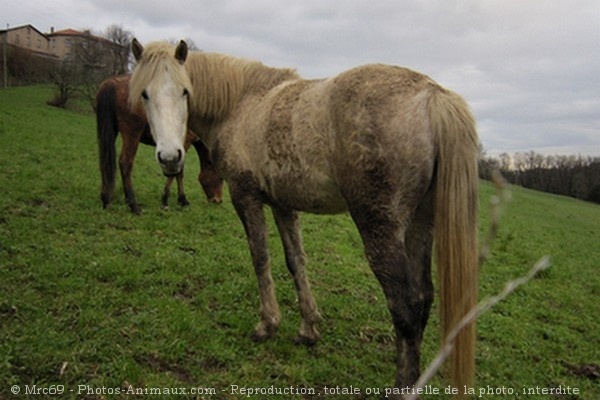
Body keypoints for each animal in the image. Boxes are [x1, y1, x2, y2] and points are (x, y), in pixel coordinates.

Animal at [96, 74, 223, 214]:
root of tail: (113, 83)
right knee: (125, 163)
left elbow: (179, 173)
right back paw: (134, 206)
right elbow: (177, 173)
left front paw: (182, 200)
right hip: (132, 133)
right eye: (221, 178)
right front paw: (166, 201)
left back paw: (108, 200)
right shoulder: (181, 146)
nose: (218, 200)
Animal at [130, 41, 478, 394]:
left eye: (185, 91)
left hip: (381, 227)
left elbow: (260, 258)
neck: (241, 103)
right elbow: (295, 261)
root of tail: (433, 95)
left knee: (405, 306)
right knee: (423, 298)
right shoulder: (283, 205)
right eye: (144, 93)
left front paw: (267, 325)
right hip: (420, 225)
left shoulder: (246, 197)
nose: (170, 158)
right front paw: (308, 329)